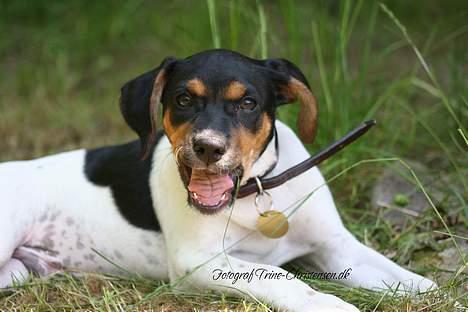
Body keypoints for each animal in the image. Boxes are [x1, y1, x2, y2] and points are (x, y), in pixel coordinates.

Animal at [0, 50, 436, 310]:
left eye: (248, 103)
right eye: (183, 100)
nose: (208, 148)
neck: (254, 195)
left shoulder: (336, 246)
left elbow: (405, 277)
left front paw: (429, 289)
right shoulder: (198, 260)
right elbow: (278, 276)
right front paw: (327, 303)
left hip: (16, 271)